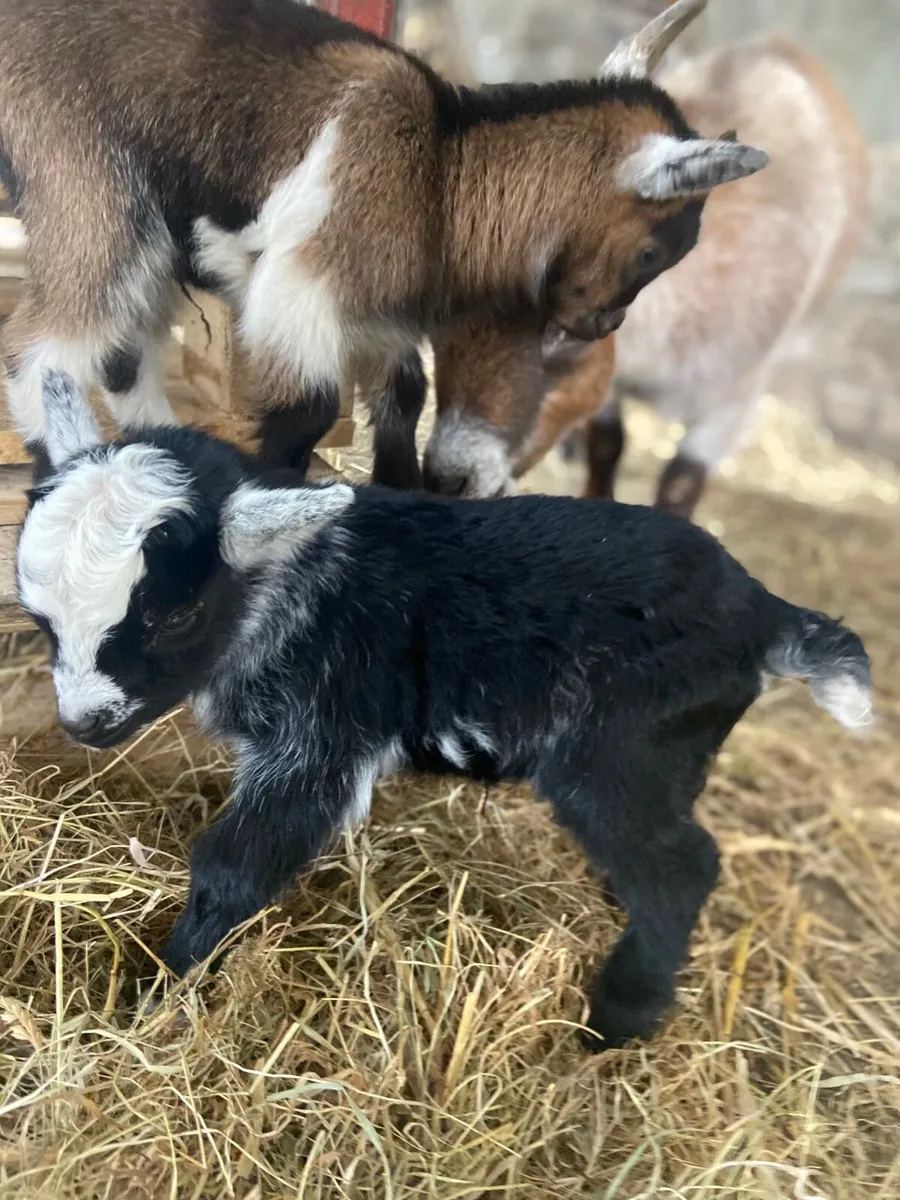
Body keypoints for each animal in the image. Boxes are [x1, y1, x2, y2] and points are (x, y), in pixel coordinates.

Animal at [0, 0, 767, 486]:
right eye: (652, 252)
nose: (602, 323)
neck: (438, 171)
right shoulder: (300, 288)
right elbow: (308, 409)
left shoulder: (381, 319)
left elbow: (405, 398)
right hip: (91, 192)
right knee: (43, 350)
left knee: (122, 355)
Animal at [18, 370, 872, 1049]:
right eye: (39, 616)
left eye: (175, 616)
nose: (84, 724)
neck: (292, 585)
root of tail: (766, 614)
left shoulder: (322, 733)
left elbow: (233, 866)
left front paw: (160, 991)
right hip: (671, 752)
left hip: (618, 751)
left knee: (684, 867)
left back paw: (616, 1021)